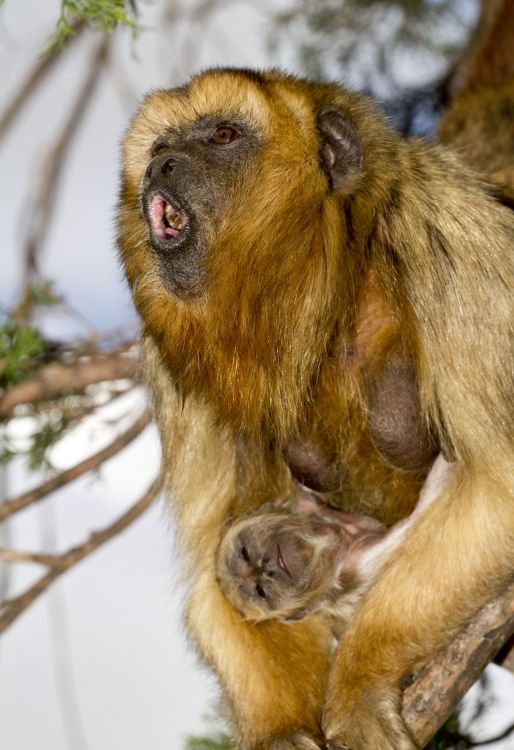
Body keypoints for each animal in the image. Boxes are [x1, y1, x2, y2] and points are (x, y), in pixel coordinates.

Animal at [216, 456, 452, 624]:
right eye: (260, 592)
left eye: (244, 553)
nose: (265, 567)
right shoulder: (359, 563)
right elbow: (420, 515)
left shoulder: (313, 507)